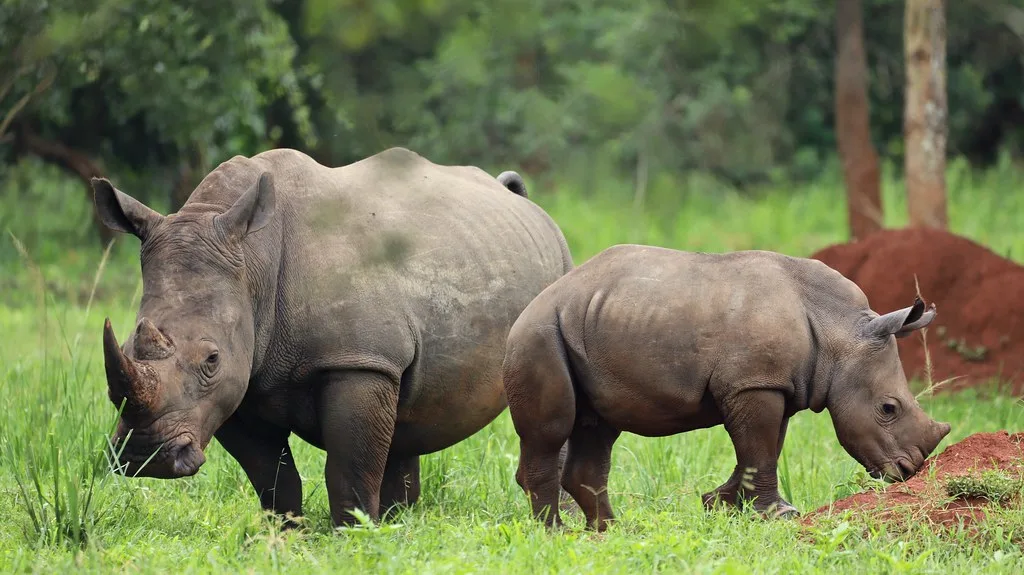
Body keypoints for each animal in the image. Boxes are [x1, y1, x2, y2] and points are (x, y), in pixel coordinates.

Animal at [93, 147, 572, 526]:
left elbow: (349, 468)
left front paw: (354, 536)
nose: (145, 458)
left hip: (558, 278)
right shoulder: (241, 380)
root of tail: (519, 197)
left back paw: (560, 519)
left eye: (211, 360)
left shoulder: (357, 360)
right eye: (129, 346)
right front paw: (286, 535)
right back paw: (400, 520)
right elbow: (271, 476)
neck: (253, 263)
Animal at [502, 244, 951, 531]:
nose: (908, 472)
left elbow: (761, 450)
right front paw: (778, 516)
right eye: (888, 409)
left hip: (587, 328)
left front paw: (719, 504)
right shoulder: (754, 385)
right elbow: (760, 449)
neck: (839, 330)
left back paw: (613, 531)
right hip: (539, 334)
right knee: (551, 431)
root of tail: (535, 302)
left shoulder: (771, 385)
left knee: (597, 428)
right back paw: (554, 533)